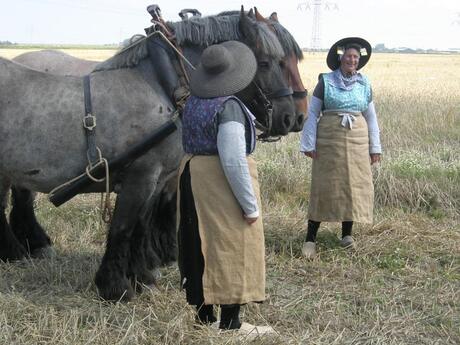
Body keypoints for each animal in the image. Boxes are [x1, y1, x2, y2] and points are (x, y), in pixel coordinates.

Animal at [0, 10, 298, 300]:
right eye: (266, 63)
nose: (289, 117)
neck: (164, 87)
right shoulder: (141, 176)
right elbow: (123, 226)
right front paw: (115, 286)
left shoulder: (159, 179)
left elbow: (141, 225)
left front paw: (142, 275)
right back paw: (17, 251)